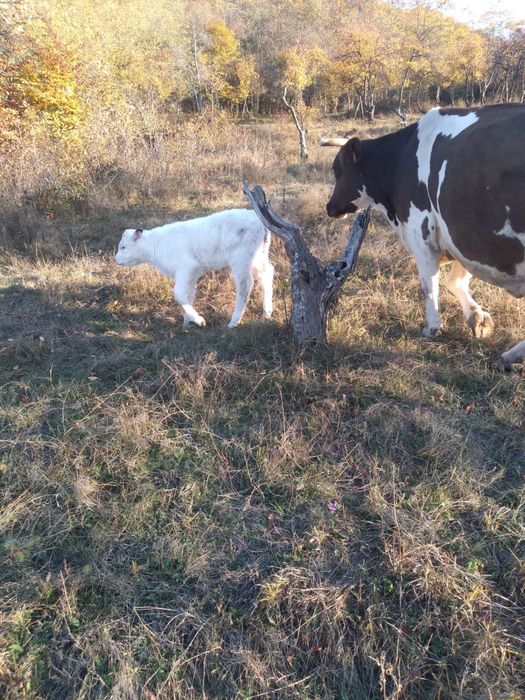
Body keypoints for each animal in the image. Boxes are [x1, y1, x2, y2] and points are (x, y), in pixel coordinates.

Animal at [321, 103, 525, 370]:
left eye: (337, 170)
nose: (329, 207)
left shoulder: (423, 232)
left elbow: (430, 285)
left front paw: (433, 328)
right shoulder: (464, 236)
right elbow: (455, 282)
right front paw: (478, 319)